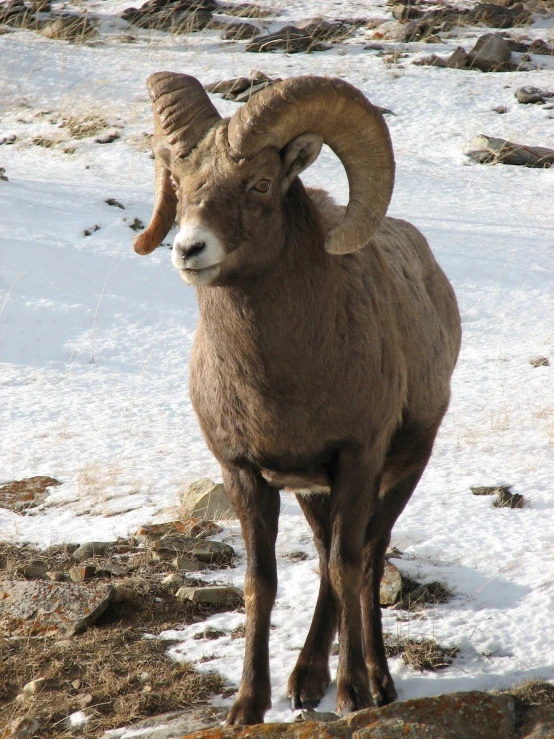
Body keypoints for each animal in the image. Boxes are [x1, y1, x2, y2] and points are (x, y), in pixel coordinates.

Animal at [135, 72, 462, 724]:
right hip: (315, 493)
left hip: (403, 471)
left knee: (366, 559)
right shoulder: (244, 472)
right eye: (179, 183)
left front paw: (354, 695)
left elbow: (348, 563)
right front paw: (247, 706)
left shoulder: (358, 460)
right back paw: (305, 682)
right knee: (325, 559)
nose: (189, 249)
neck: (280, 386)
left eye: (260, 183)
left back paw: (376, 683)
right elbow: (262, 582)